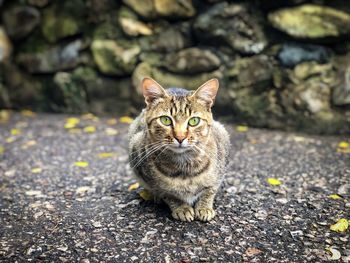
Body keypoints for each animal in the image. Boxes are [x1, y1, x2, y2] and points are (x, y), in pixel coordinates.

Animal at [129, 77, 230, 222]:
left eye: (194, 121)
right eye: (165, 120)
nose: (180, 137)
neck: (185, 166)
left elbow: (210, 190)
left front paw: (204, 207)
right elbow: (168, 194)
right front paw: (181, 208)